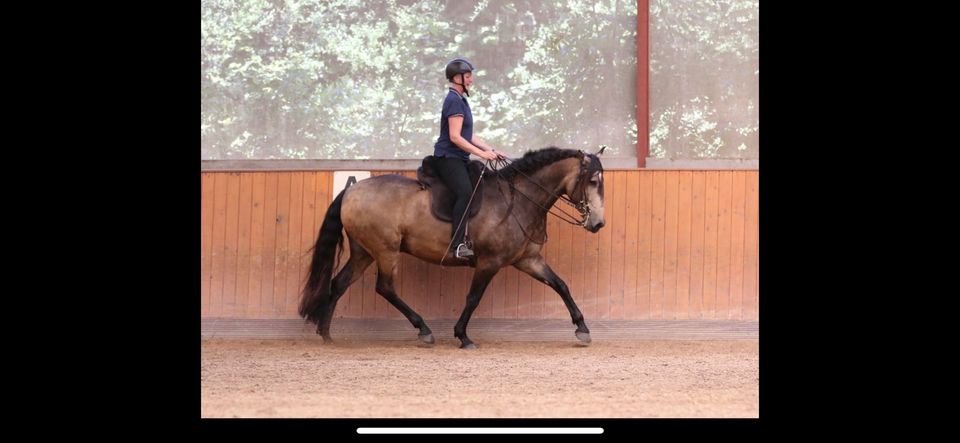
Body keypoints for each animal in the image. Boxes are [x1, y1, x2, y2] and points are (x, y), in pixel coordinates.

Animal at [296, 147, 604, 348]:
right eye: (592, 181)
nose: (598, 223)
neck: (518, 199)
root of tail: (350, 190)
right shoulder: (490, 262)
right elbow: (473, 298)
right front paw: (463, 336)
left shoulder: (528, 259)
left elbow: (561, 285)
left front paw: (582, 328)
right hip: (385, 250)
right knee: (384, 288)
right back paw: (423, 330)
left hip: (364, 252)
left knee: (339, 283)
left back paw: (326, 334)